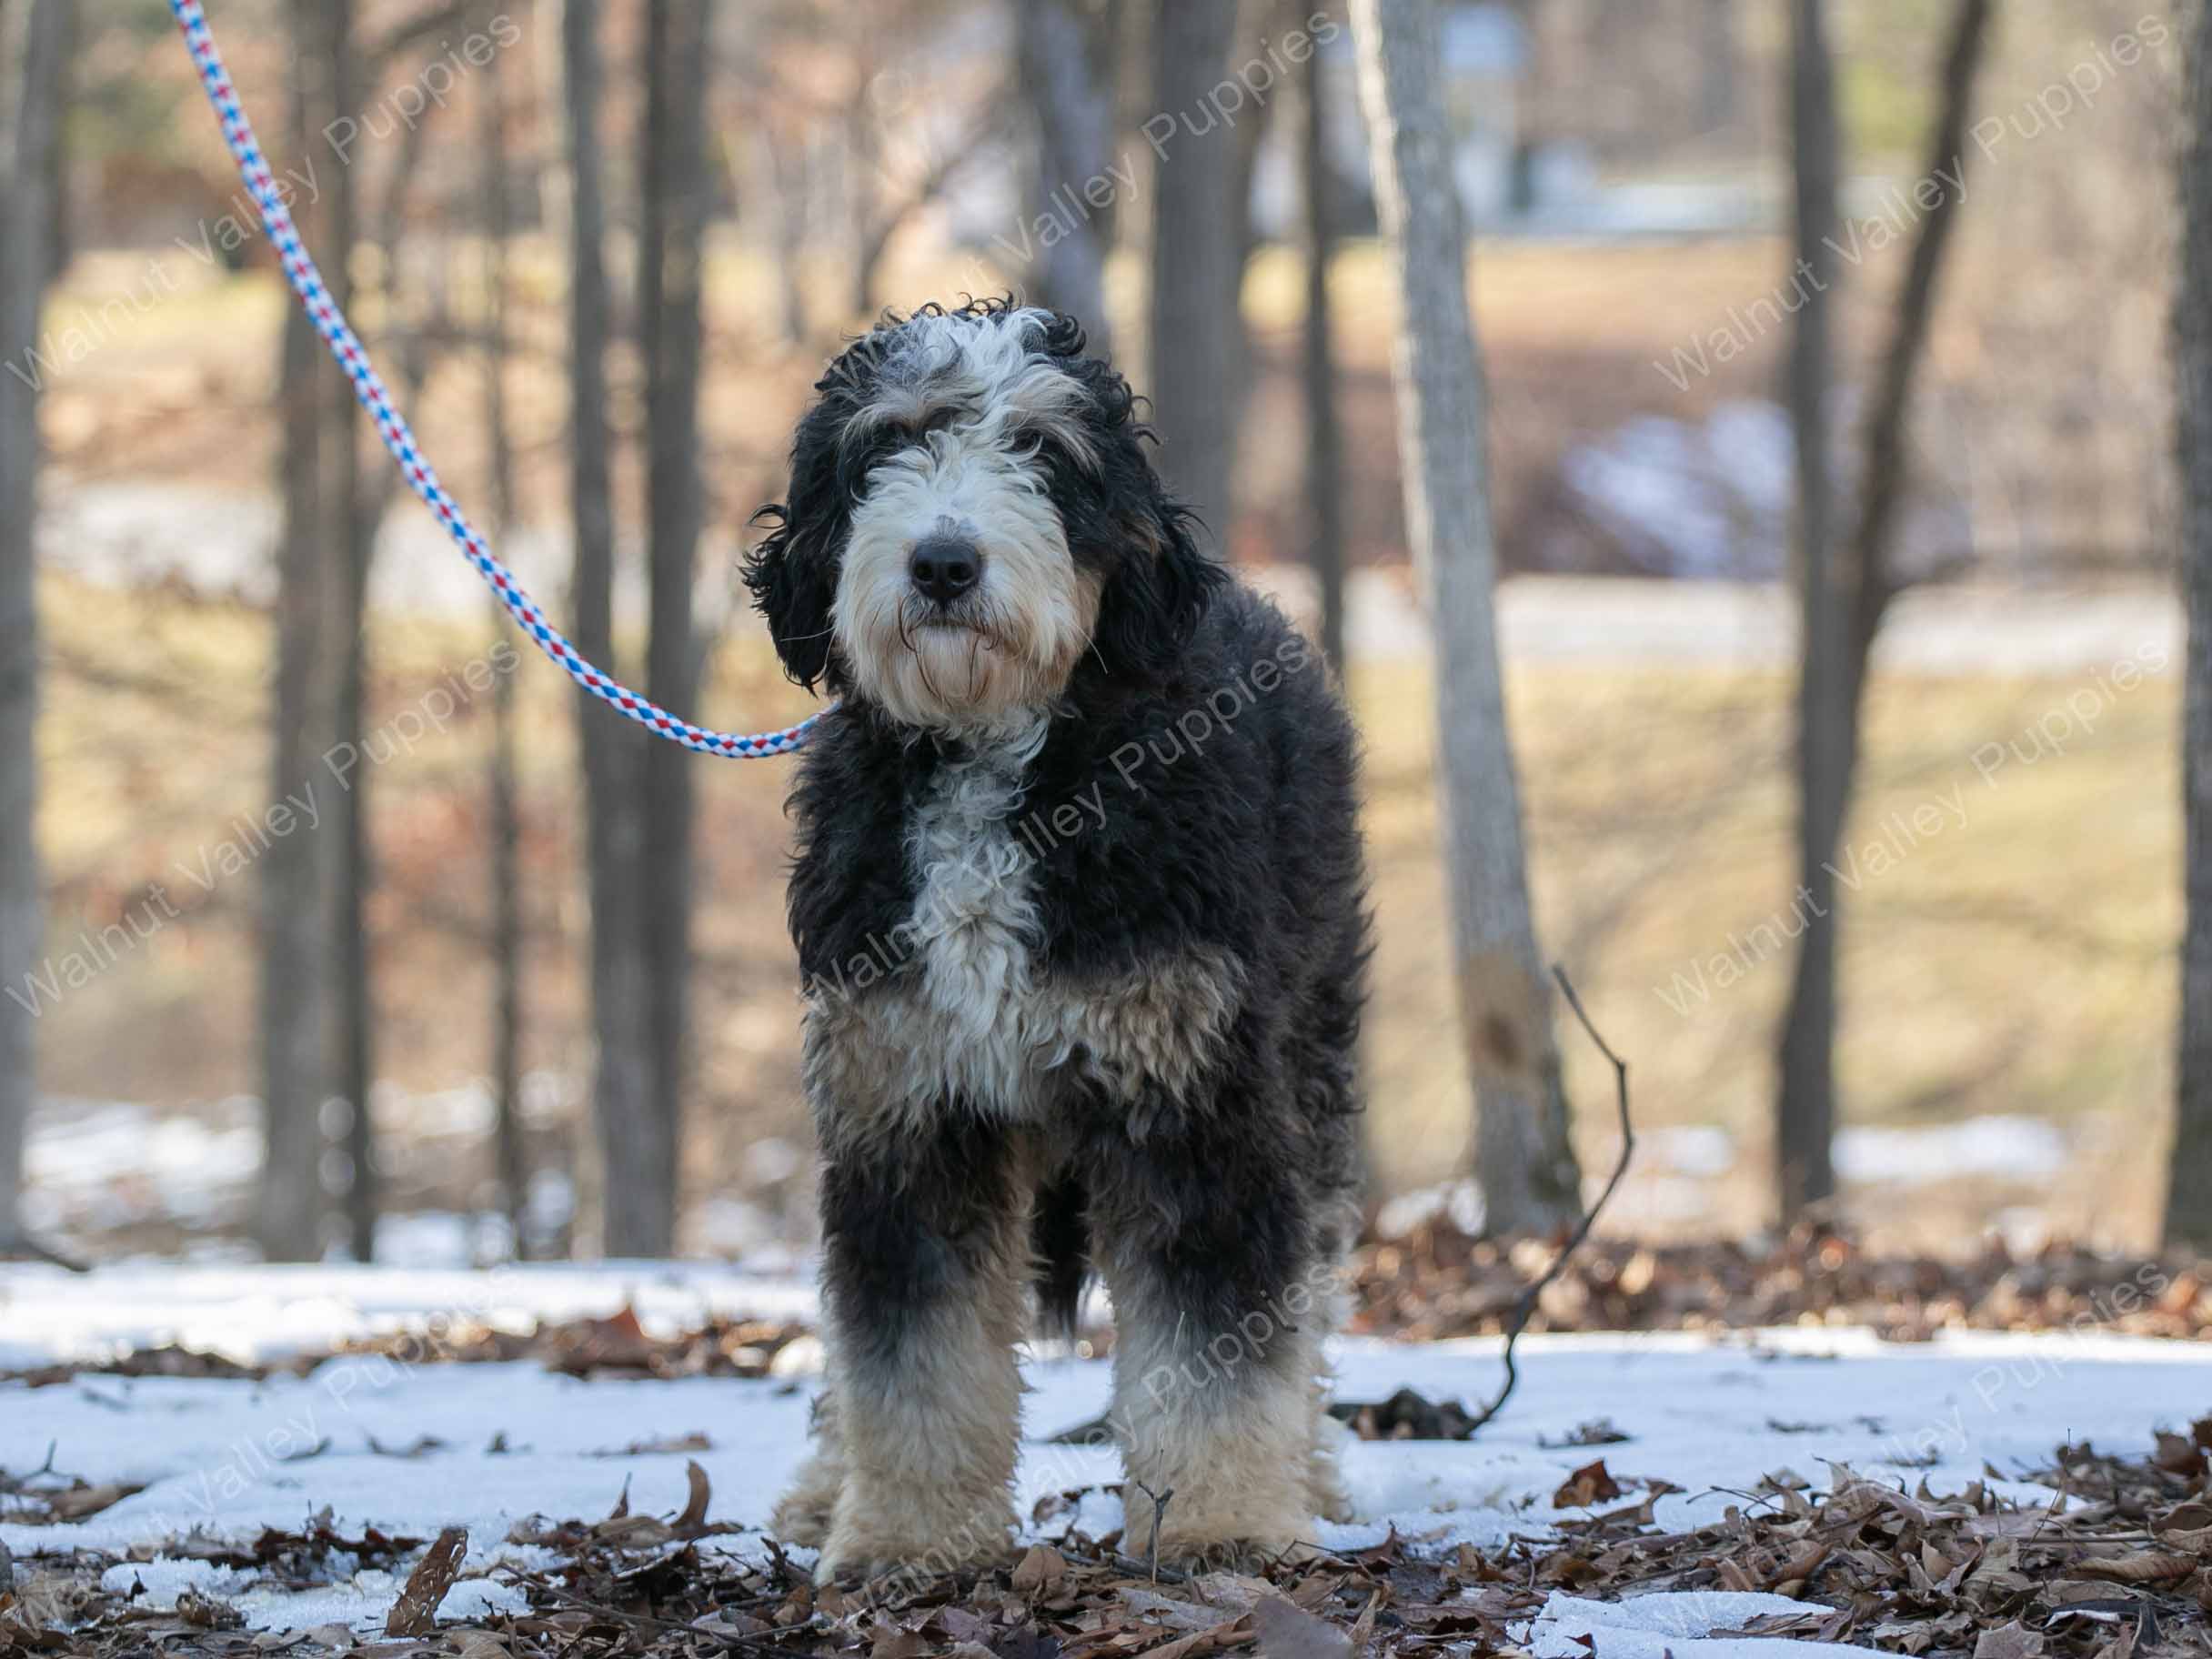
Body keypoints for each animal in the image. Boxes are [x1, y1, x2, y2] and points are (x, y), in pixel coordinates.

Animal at [743, 299, 1367, 1581]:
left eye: (1038, 450)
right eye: (890, 441)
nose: (942, 563)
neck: (995, 755)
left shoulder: (1194, 1099)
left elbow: (1218, 1342)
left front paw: (1227, 1524)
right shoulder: (905, 1101)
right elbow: (909, 1353)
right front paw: (906, 1540)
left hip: (1310, 1047)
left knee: (1314, 1277)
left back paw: (1312, 1470)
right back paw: (824, 1492)